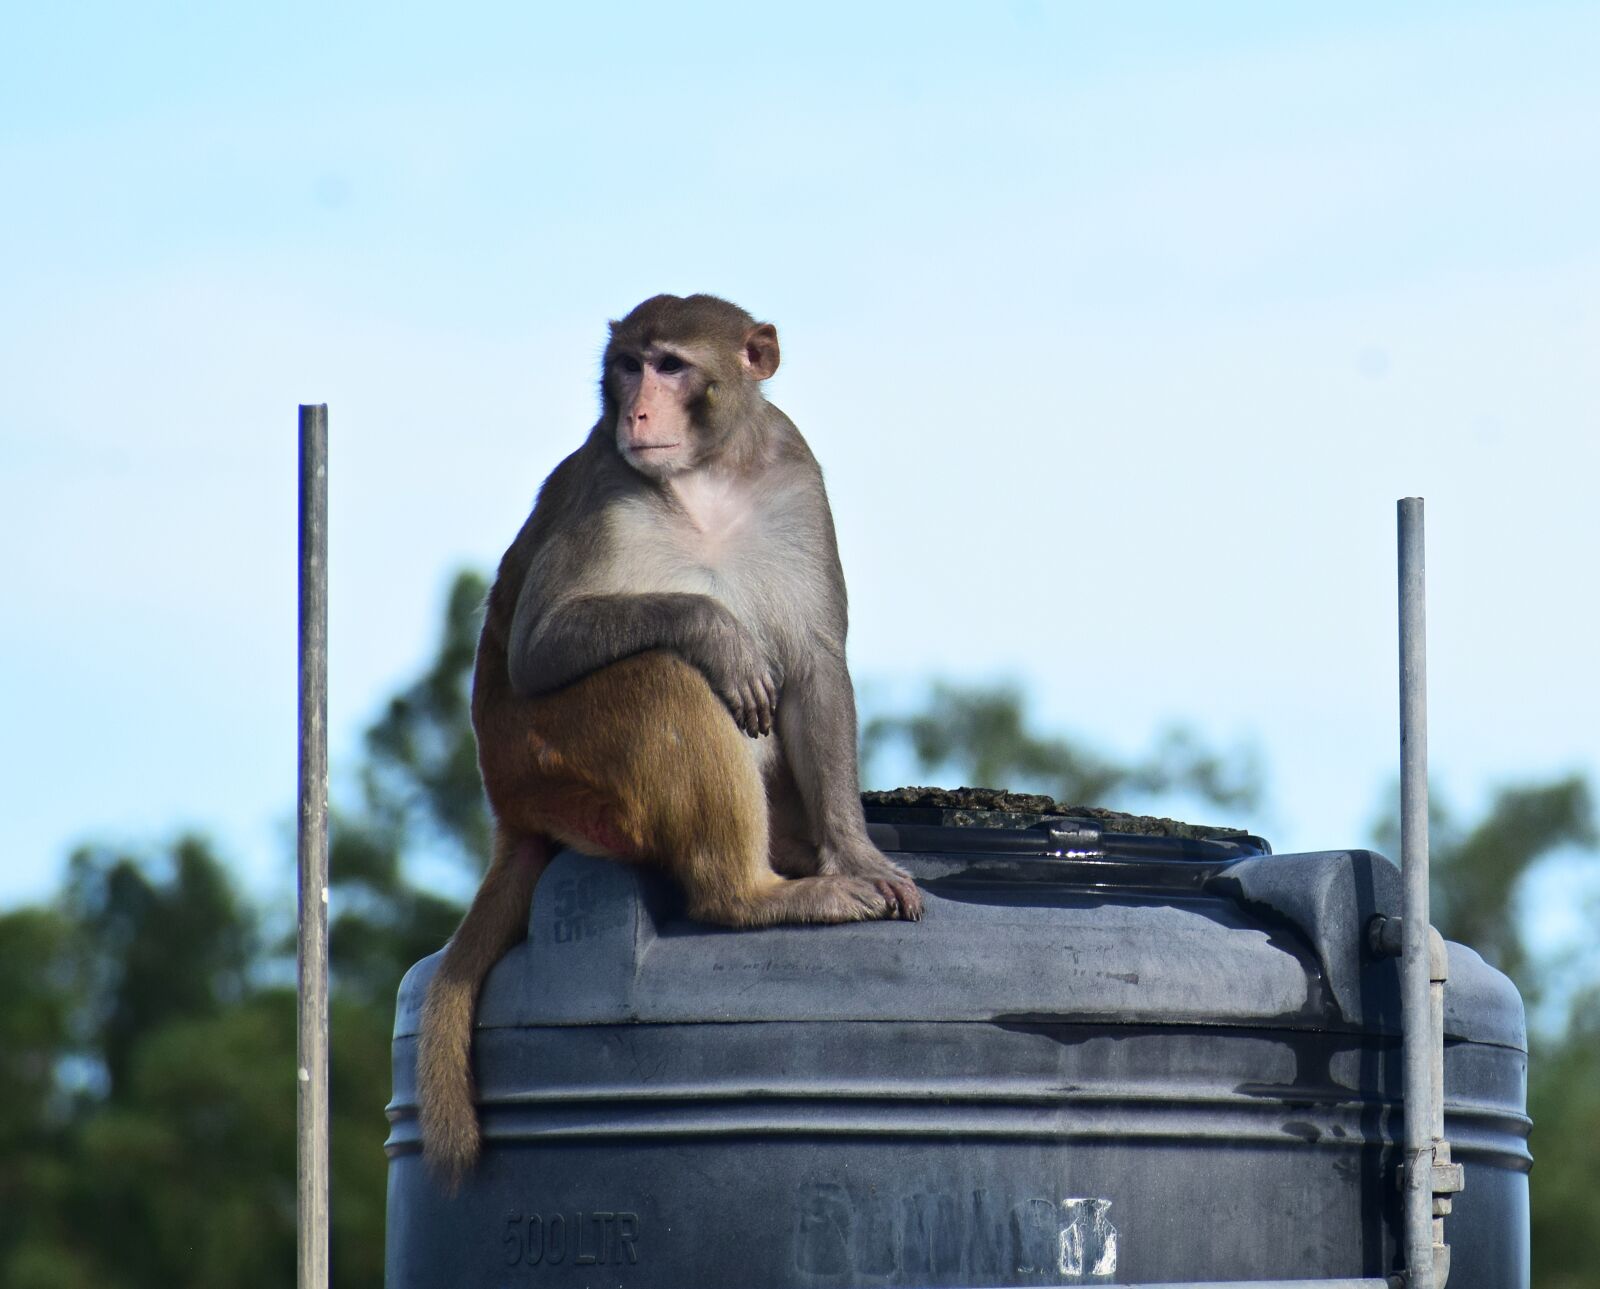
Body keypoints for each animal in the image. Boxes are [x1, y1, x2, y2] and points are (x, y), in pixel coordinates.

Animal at [417, 293, 923, 1186]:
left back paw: (801, 862)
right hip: (558, 766)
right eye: (627, 365)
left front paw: (858, 852)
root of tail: (509, 804)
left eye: (671, 365)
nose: (637, 411)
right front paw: (718, 632)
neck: (708, 478)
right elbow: (540, 648)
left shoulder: (796, 479)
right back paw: (751, 894)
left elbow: (815, 667)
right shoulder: (607, 491)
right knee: (660, 676)